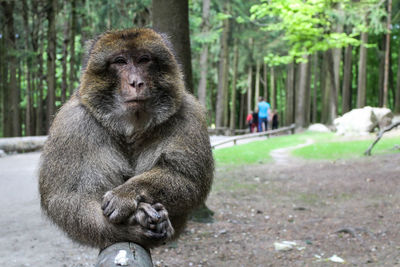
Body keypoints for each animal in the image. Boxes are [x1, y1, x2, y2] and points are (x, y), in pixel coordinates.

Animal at [38, 28, 212, 250]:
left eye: (143, 60)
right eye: (120, 61)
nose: (135, 82)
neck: (131, 127)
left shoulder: (188, 114)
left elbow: (189, 178)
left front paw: (127, 194)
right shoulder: (71, 124)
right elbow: (67, 197)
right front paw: (134, 223)